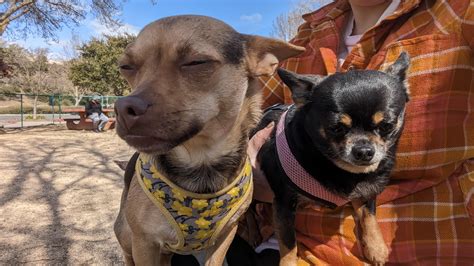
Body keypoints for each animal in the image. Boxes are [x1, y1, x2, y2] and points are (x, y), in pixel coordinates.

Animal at [111, 15, 304, 264]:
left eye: (196, 62)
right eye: (126, 67)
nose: (122, 107)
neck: (201, 164)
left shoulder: (224, 237)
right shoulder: (145, 244)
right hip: (127, 235)